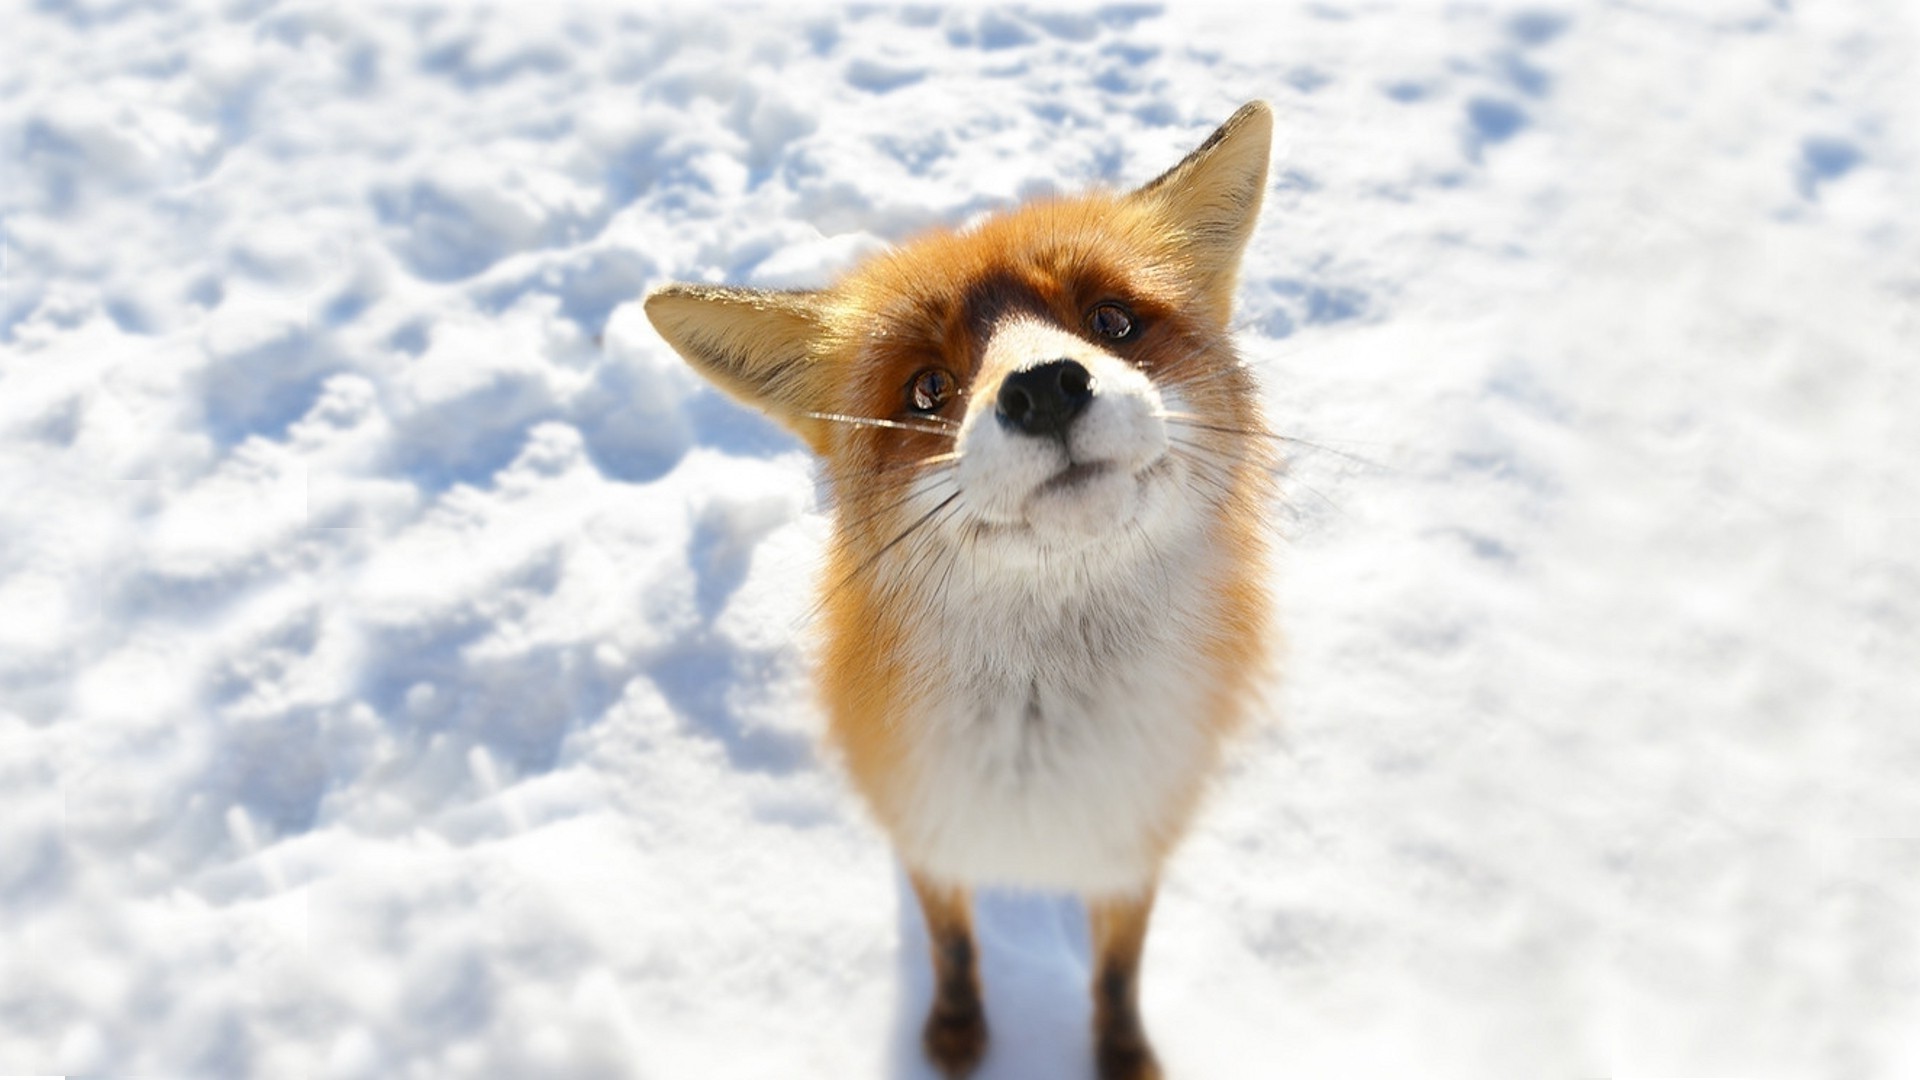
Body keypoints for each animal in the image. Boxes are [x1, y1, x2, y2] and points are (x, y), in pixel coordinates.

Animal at [645, 102, 1274, 1076]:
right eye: (927, 387)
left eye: (1112, 321)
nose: (1046, 388)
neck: (1044, 751)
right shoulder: (927, 830)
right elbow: (951, 944)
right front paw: (954, 1034)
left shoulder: (1137, 842)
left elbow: (1117, 972)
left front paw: (1122, 1055)